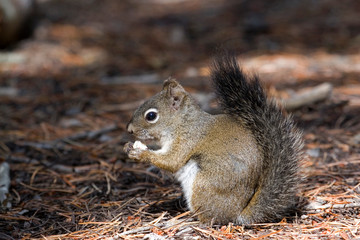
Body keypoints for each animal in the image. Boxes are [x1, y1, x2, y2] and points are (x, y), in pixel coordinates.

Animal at [124, 54, 304, 225]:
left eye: (151, 116)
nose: (129, 129)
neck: (182, 123)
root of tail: (238, 214)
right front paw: (128, 146)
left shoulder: (188, 139)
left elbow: (172, 161)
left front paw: (140, 154)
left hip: (204, 185)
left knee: (212, 218)